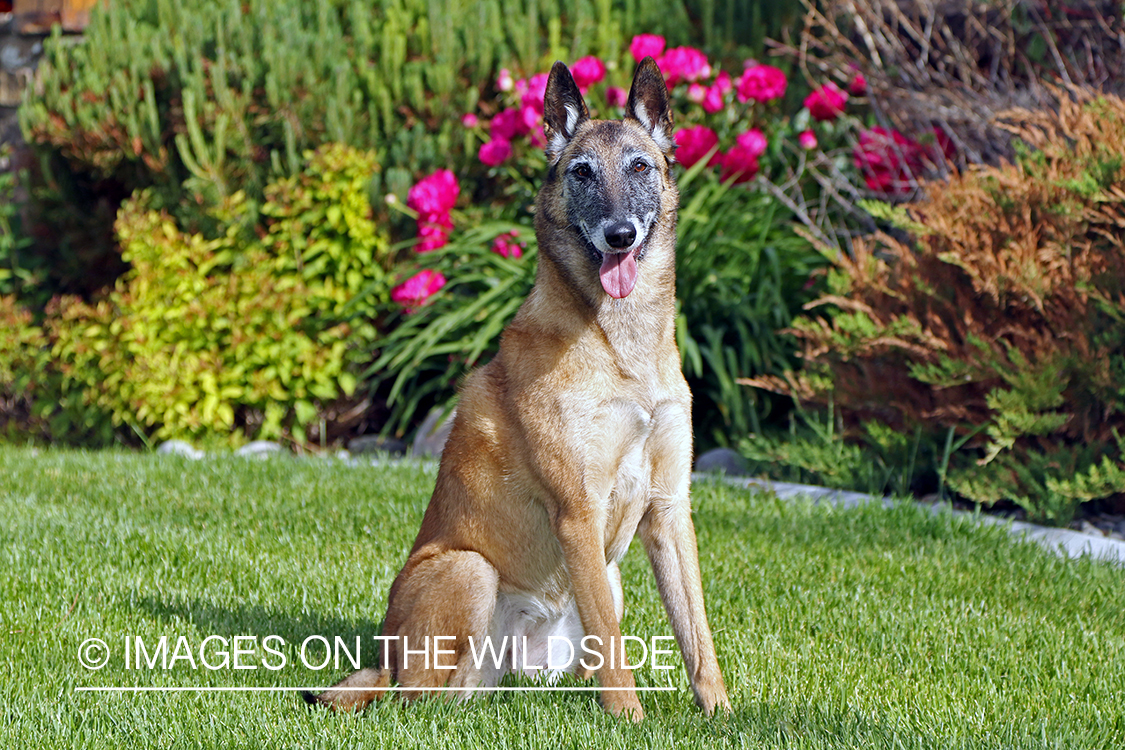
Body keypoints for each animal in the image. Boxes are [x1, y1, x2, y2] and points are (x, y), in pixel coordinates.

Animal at [308, 57, 729, 719]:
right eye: (582, 173)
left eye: (640, 167)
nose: (618, 234)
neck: (620, 345)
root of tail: (385, 658)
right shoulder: (579, 512)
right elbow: (613, 643)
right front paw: (630, 720)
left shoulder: (668, 509)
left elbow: (697, 634)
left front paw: (723, 714)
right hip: (469, 570)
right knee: (421, 700)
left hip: (606, 580)